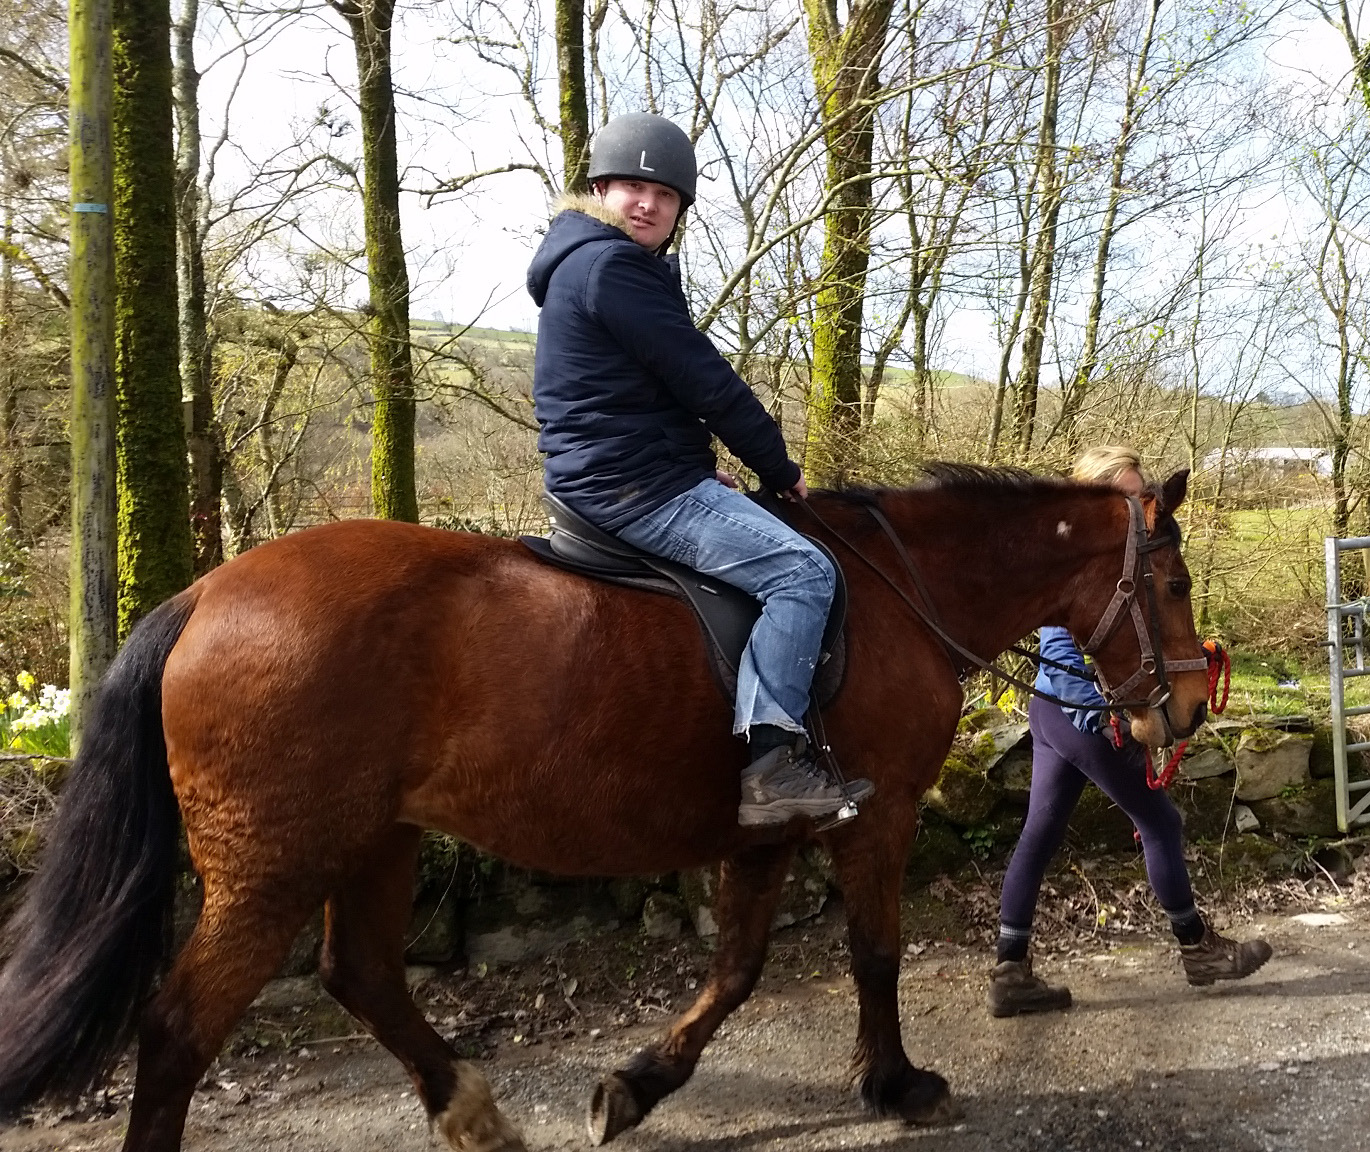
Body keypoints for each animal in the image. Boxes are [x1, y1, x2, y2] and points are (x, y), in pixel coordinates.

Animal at [0, 465, 1210, 1152]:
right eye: (1174, 582)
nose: (1191, 706)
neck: (895, 590)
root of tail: (205, 594)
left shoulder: (764, 833)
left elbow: (735, 968)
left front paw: (635, 1087)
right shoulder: (878, 815)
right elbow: (873, 951)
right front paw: (896, 1084)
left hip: (376, 839)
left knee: (362, 975)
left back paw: (471, 1111)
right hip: (271, 868)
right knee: (176, 1033)